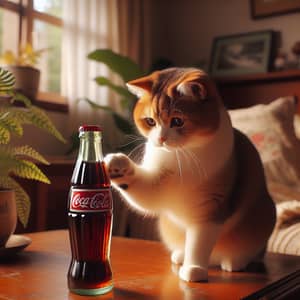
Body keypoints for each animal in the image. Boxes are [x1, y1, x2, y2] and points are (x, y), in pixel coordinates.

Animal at [104, 67, 276, 282]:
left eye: (177, 121)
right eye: (150, 121)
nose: (160, 139)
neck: (182, 155)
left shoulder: (211, 208)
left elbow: (199, 242)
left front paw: (194, 269)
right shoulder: (157, 185)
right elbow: (145, 194)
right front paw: (117, 166)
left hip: (262, 218)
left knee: (250, 251)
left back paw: (234, 261)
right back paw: (180, 255)